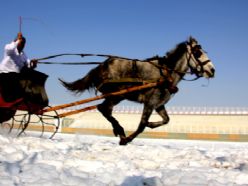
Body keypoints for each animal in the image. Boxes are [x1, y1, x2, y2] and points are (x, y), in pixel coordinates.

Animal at [60, 36, 215, 144]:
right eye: (198, 52)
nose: (212, 70)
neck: (166, 73)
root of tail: (101, 66)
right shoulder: (150, 103)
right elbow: (142, 125)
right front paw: (127, 139)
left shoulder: (158, 105)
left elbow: (166, 120)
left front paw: (151, 124)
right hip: (116, 96)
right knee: (103, 109)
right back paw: (120, 131)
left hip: (115, 96)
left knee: (104, 109)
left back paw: (119, 130)